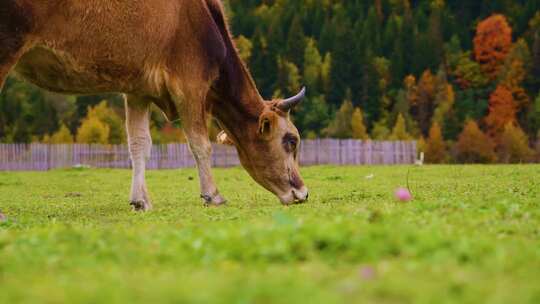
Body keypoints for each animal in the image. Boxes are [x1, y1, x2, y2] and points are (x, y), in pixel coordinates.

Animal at [1, 0, 308, 210]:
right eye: (291, 140)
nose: (304, 193)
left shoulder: (137, 89)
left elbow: (139, 144)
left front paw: (140, 200)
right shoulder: (190, 83)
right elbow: (200, 144)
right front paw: (213, 194)